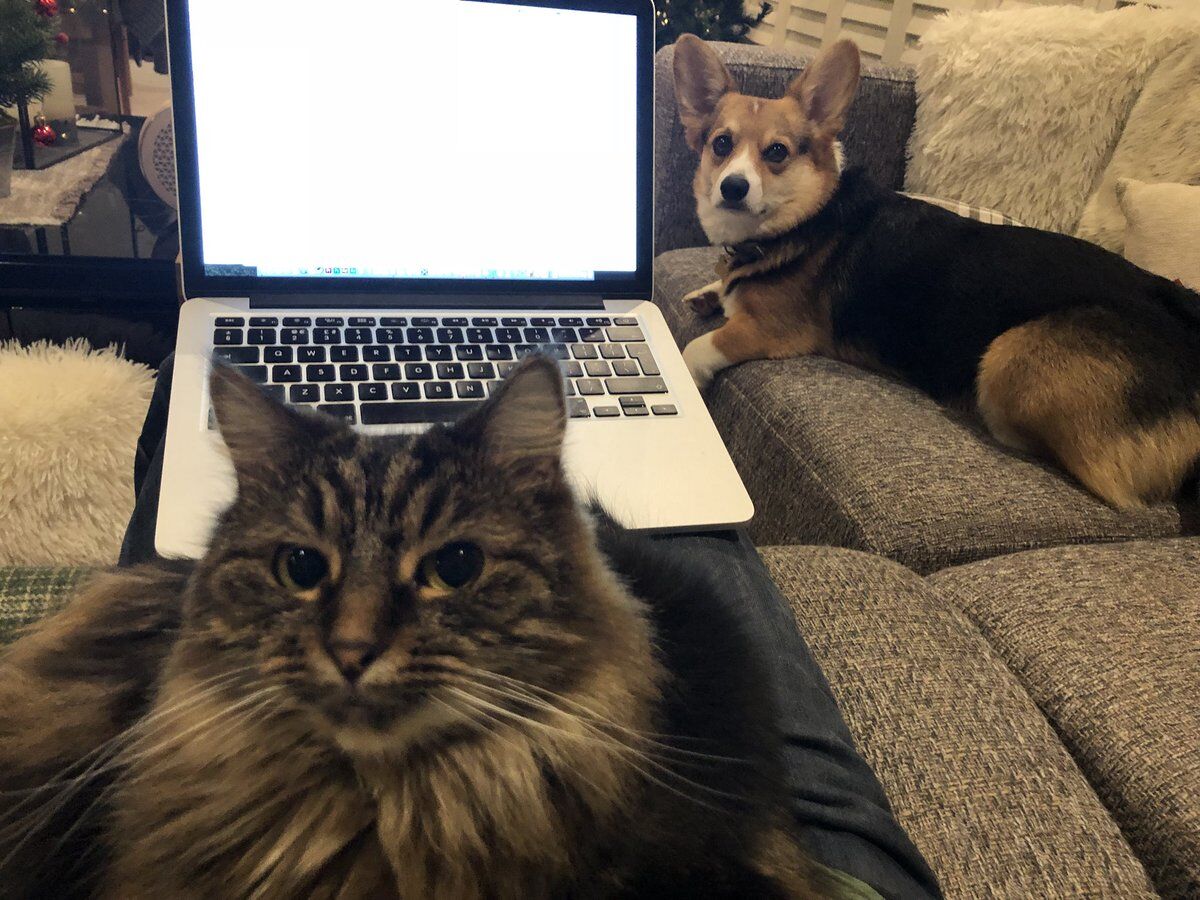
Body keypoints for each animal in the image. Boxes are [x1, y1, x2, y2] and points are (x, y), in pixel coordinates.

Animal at [671, 33, 1200, 509]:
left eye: (777, 152)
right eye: (721, 144)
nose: (732, 187)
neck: (805, 218)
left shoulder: (772, 329)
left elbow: (699, 347)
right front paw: (708, 290)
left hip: (1006, 361)